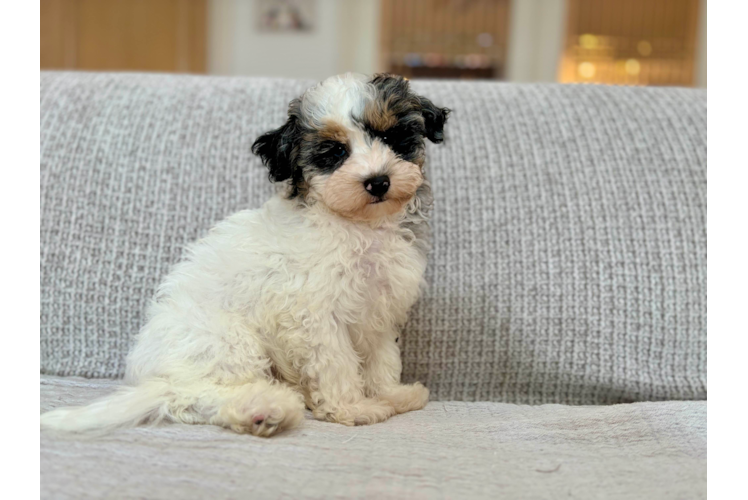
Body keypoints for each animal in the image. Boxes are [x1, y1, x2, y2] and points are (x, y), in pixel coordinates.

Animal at [39, 72, 450, 436]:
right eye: (334, 153)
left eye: (392, 137)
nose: (378, 181)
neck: (360, 226)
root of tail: (155, 379)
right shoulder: (316, 315)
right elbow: (336, 363)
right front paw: (354, 408)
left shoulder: (381, 308)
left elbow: (382, 359)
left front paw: (391, 395)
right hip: (229, 341)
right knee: (193, 396)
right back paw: (265, 408)